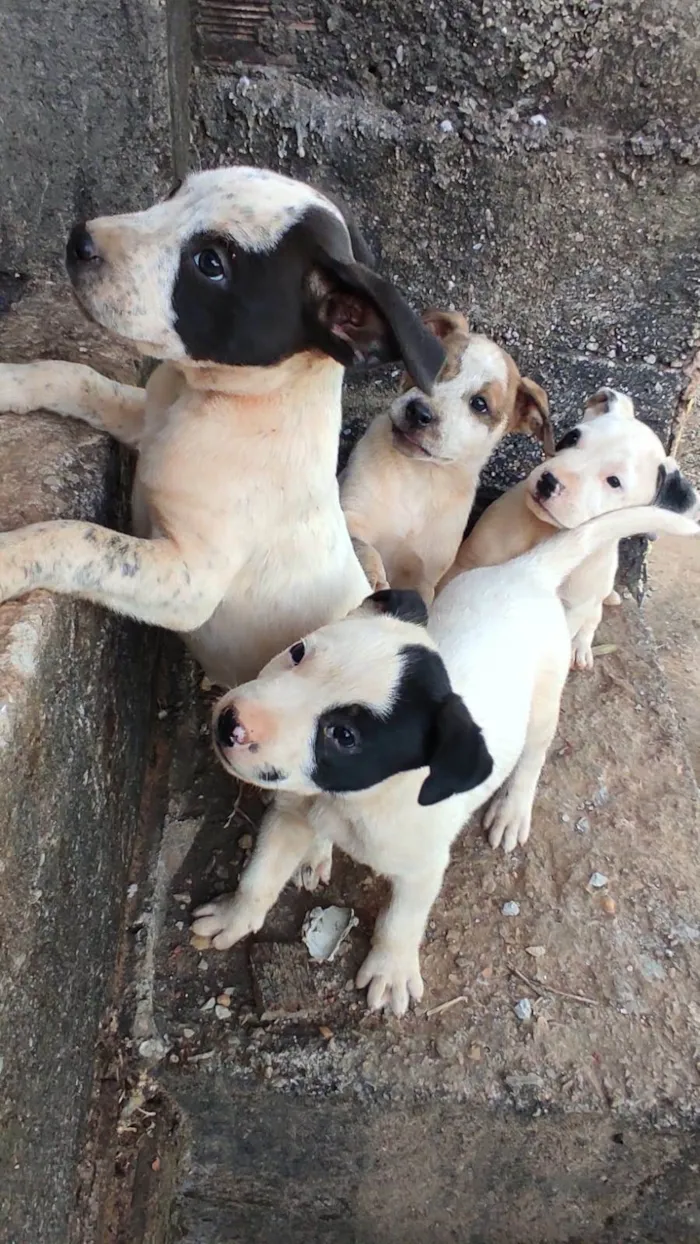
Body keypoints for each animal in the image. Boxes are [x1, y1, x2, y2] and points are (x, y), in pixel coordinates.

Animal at [0, 162, 442, 691]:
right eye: (175, 191)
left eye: (210, 264)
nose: (78, 240)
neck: (213, 403)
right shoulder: (145, 419)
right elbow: (74, 376)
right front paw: (7, 381)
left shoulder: (191, 580)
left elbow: (81, 539)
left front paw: (4, 560)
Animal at [340, 309, 554, 602]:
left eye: (479, 404)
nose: (418, 412)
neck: (418, 475)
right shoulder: (349, 513)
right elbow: (361, 546)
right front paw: (372, 576)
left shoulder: (423, 576)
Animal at [437, 385, 696, 671]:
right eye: (572, 437)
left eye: (614, 482)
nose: (548, 481)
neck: (544, 534)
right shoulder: (464, 565)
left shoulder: (572, 609)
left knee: (592, 621)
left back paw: (581, 648)